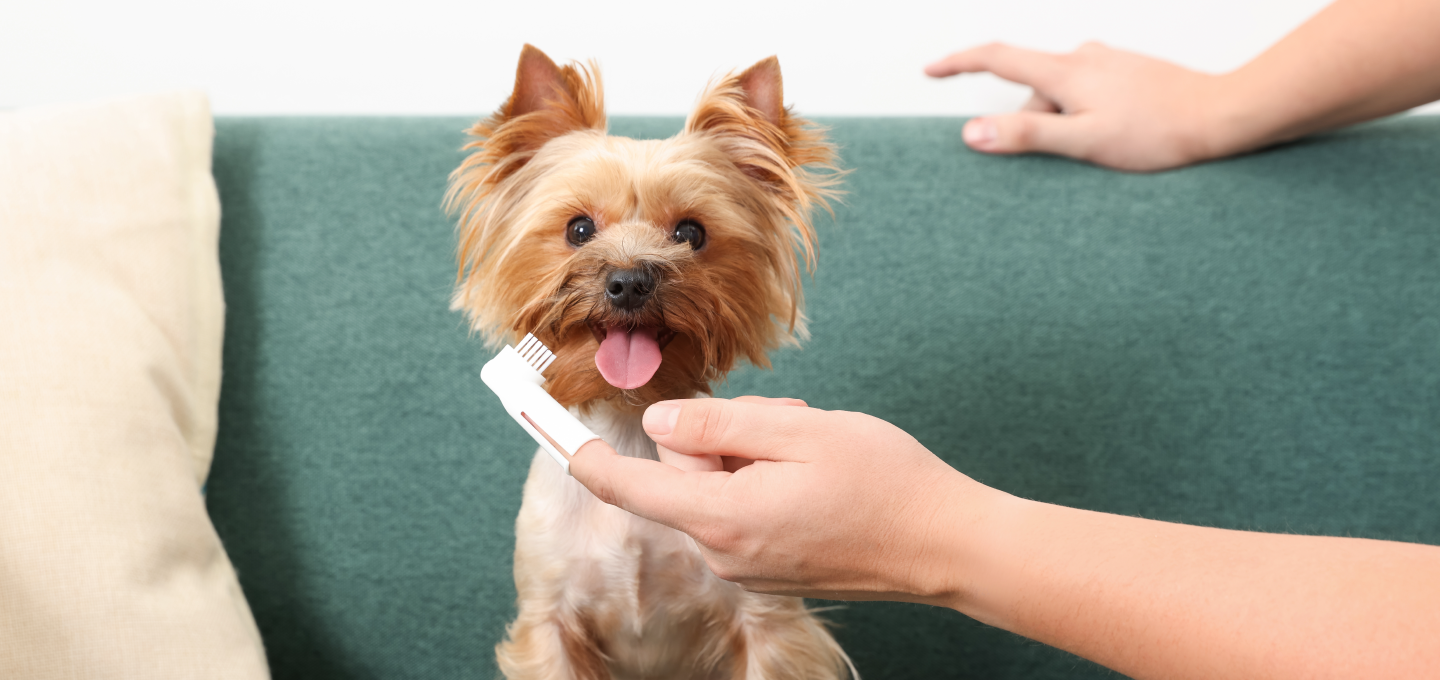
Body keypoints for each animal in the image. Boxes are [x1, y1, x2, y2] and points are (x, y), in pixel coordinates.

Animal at [449, 45, 846, 677]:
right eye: (578, 228)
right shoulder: (548, 625)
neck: (627, 421)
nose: (630, 280)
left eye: (691, 233)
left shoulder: (770, 626)